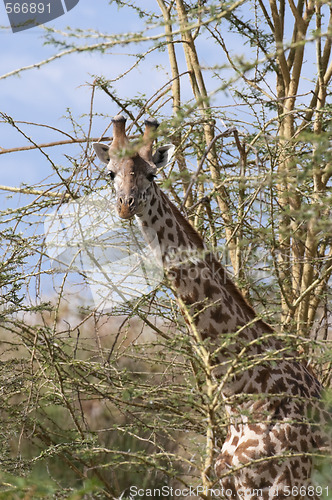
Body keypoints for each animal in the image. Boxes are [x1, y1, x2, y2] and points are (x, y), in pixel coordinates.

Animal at [94, 115, 332, 500]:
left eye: (152, 175)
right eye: (111, 173)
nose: (126, 205)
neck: (244, 398)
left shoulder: (287, 483)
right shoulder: (230, 485)